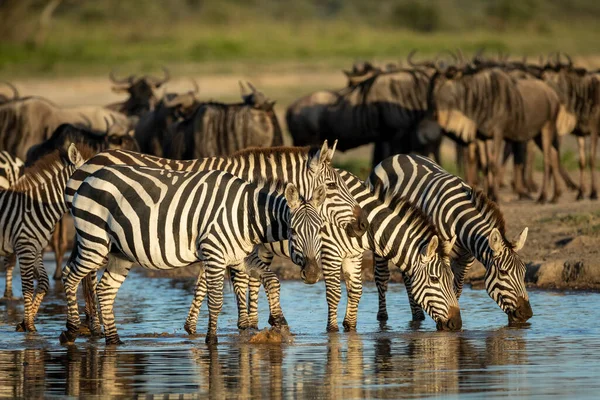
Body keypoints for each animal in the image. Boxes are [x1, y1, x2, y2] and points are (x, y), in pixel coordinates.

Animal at [0, 144, 89, 332]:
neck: (37, 206)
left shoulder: (37, 248)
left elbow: (44, 282)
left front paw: (24, 322)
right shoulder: (25, 246)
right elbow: (27, 286)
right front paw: (30, 325)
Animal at [61, 164, 328, 346]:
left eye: (321, 229)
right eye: (293, 231)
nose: (313, 275)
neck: (247, 214)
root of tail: (88, 175)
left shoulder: (240, 256)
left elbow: (272, 280)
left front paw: (279, 321)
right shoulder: (214, 253)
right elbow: (216, 300)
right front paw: (211, 340)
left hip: (120, 252)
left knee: (105, 290)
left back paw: (114, 341)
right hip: (94, 241)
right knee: (68, 276)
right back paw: (72, 330)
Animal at [185, 169, 462, 334]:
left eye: (451, 280)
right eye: (435, 280)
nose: (457, 324)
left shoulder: (353, 256)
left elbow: (356, 291)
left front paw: (350, 326)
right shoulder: (329, 253)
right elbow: (334, 293)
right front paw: (332, 329)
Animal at [368, 154, 532, 324]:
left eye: (523, 271)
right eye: (503, 272)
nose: (526, 314)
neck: (459, 221)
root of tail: (396, 156)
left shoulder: (465, 260)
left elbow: (456, 288)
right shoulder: (439, 254)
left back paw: (417, 316)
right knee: (382, 277)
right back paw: (383, 317)